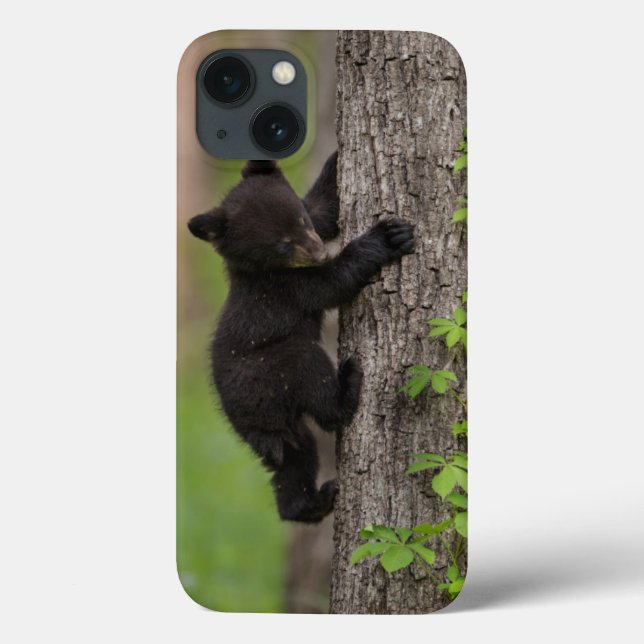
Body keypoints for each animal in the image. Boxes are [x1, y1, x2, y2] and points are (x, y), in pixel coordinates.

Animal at [187, 152, 414, 523]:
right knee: (313, 382)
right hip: (274, 369)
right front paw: (385, 237)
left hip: (279, 428)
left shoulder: (313, 226)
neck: (262, 269)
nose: (319, 252)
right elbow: (333, 281)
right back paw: (347, 387)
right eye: (281, 244)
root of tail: (242, 417)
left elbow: (324, 207)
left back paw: (310, 503)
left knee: (294, 457)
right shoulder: (285, 288)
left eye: (300, 219)